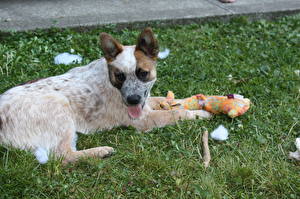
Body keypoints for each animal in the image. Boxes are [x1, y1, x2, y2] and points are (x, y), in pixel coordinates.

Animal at [0, 28, 211, 165]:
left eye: (143, 73)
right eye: (120, 76)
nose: (132, 100)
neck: (110, 82)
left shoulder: (146, 102)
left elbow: (165, 100)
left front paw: (196, 101)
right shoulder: (143, 120)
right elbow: (177, 113)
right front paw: (201, 113)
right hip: (59, 105)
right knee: (63, 156)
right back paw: (101, 151)